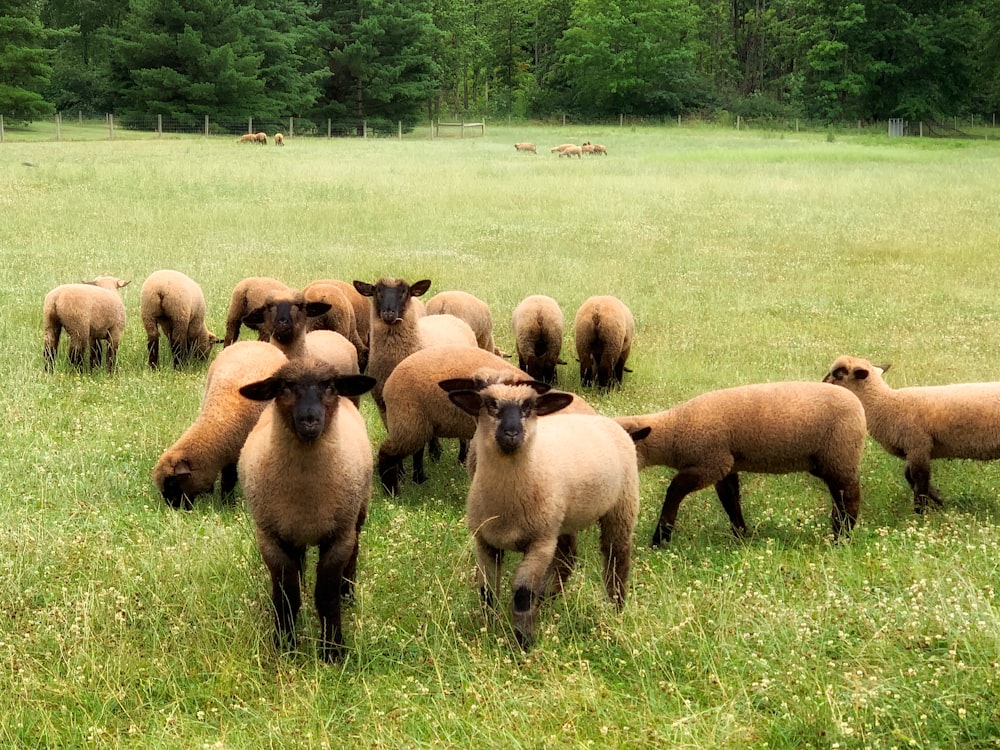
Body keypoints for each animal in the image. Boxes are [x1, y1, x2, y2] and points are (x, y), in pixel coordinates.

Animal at [152, 342, 288, 512]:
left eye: (172, 484)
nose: (173, 507)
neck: (221, 418)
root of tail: (259, 342)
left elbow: (229, 480)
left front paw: (227, 503)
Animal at [237, 356, 376, 656]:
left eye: (330, 386)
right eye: (285, 387)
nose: (310, 421)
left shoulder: (339, 537)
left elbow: (326, 595)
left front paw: (333, 650)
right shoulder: (270, 537)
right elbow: (286, 595)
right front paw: (285, 644)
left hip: (358, 512)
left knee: (355, 551)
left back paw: (348, 593)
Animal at [448, 382, 648, 652]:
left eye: (529, 407)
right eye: (490, 405)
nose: (512, 433)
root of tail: (607, 420)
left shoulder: (540, 543)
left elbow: (523, 594)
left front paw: (523, 643)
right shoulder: (485, 542)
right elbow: (487, 591)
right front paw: (487, 628)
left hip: (621, 506)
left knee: (616, 556)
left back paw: (615, 607)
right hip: (561, 520)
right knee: (567, 557)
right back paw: (547, 598)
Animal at [612, 382, 864, 548]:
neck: (675, 430)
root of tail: (858, 405)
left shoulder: (710, 463)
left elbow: (674, 491)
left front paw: (660, 539)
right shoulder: (726, 466)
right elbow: (730, 500)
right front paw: (741, 535)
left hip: (841, 454)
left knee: (849, 497)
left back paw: (841, 538)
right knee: (839, 499)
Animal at [824, 356, 1000, 516]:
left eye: (838, 373)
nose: (823, 384)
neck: (886, 404)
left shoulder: (918, 445)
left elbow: (919, 479)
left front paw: (920, 512)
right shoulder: (913, 449)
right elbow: (908, 475)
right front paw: (938, 498)